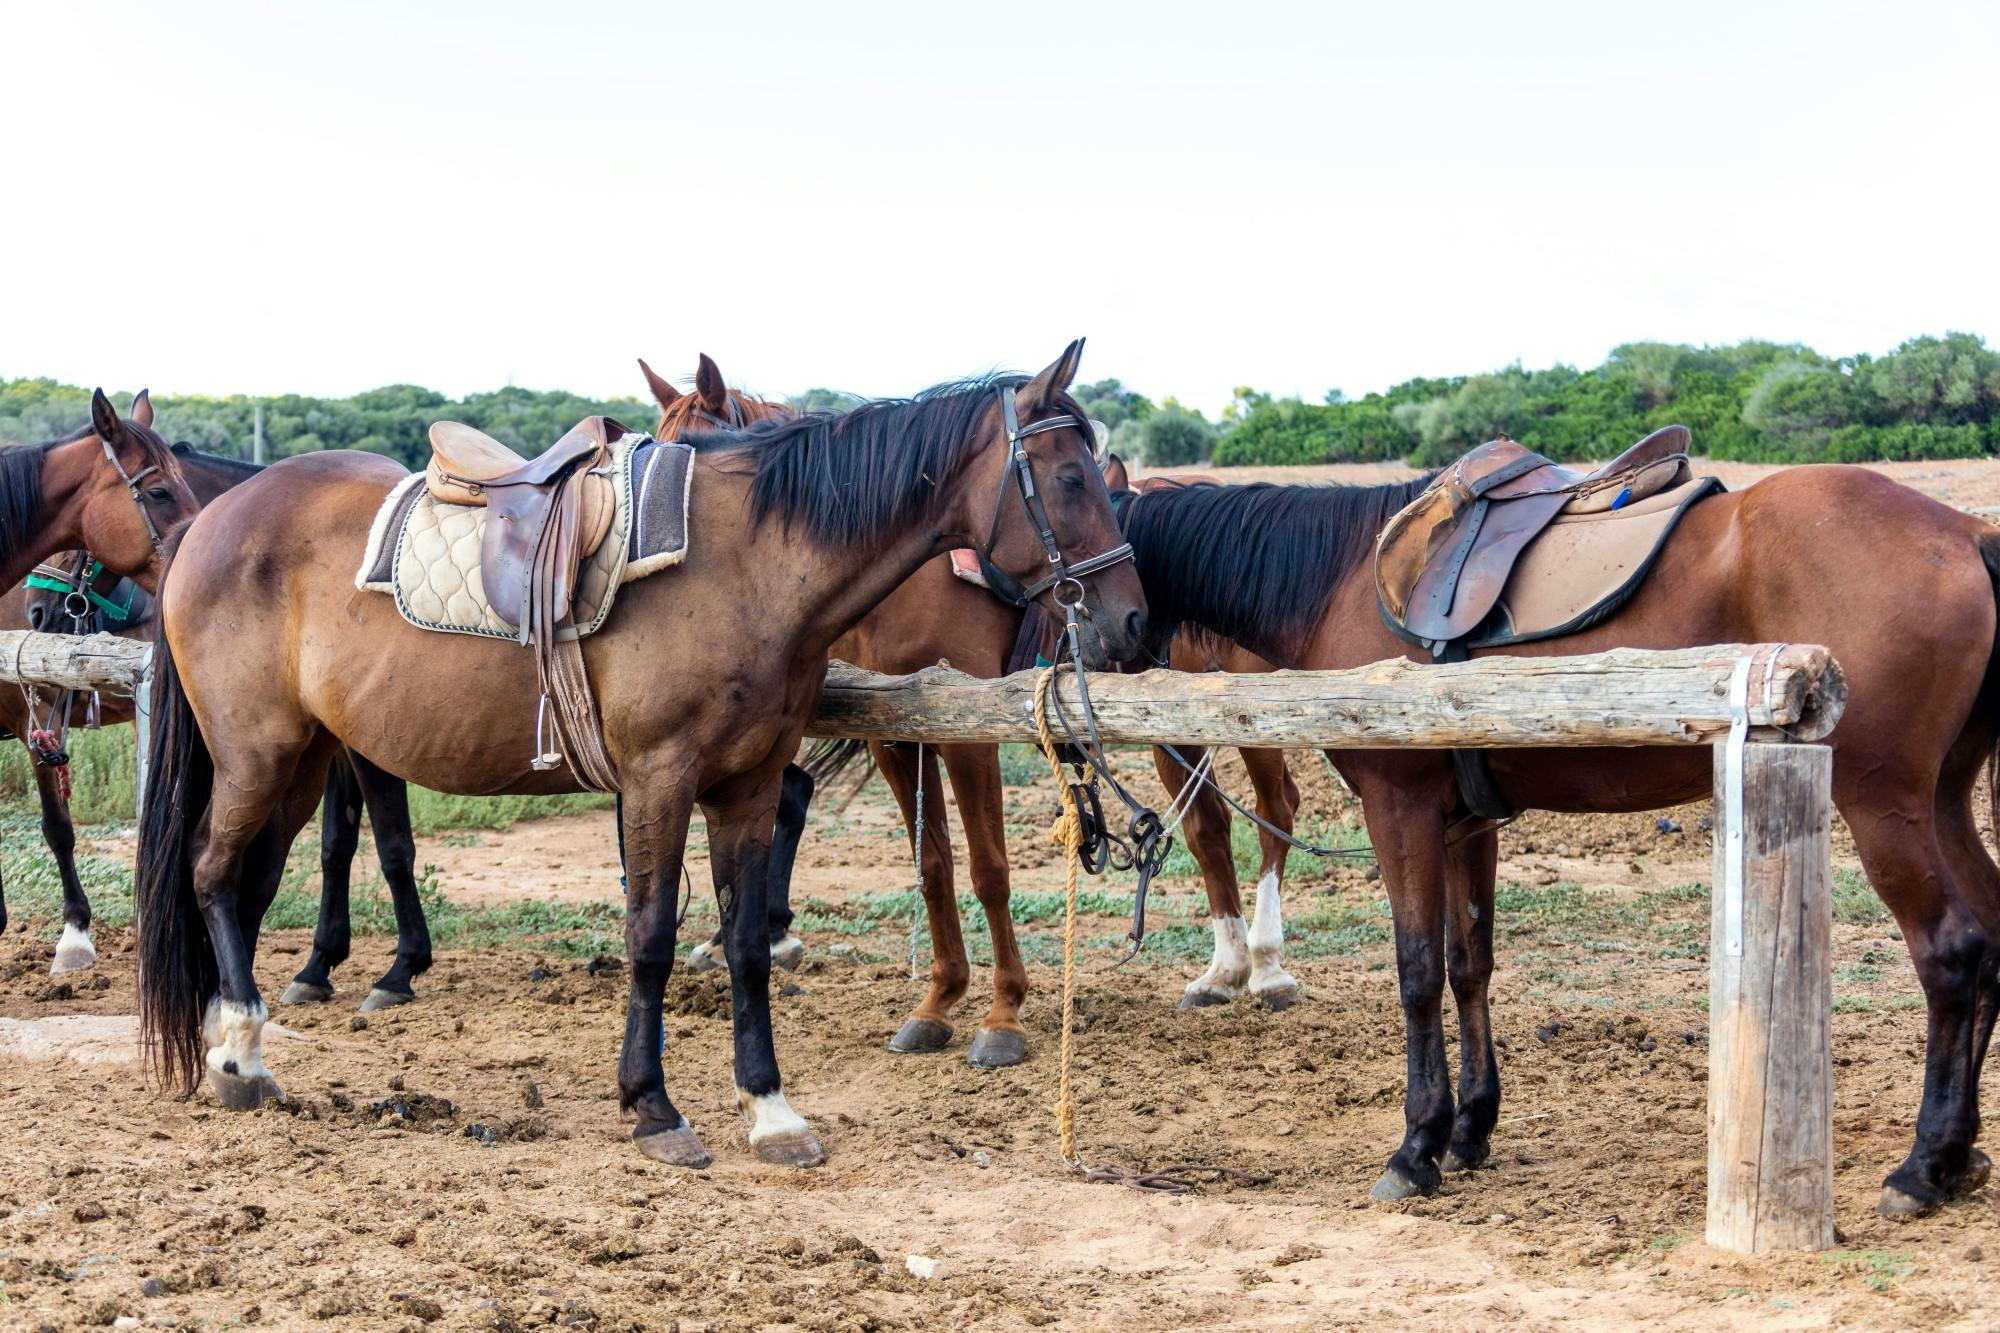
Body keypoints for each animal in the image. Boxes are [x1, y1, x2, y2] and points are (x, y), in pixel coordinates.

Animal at [137, 342, 1144, 1160]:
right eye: (1067, 479)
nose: (1130, 618)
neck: (749, 564)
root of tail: (208, 522)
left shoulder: (746, 786)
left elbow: (745, 941)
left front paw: (770, 1108)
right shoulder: (660, 779)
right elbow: (651, 934)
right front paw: (652, 1105)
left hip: (302, 760)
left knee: (246, 882)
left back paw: (234, 1046)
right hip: (258, 754)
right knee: (213, 871)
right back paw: (244, 1051)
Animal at [1120, 454, 2000, 1216]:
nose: (1115, 636)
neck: (1344, 580)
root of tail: (1963, 532)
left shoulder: (1399, 811)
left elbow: (1416, 971)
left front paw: (1416, 1146)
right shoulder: (1465, 824)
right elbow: (1468, 964)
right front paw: (1469, 1127)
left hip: (1883, 804)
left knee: (1951, 950)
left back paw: (1924, 1165)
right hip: (1943, 799)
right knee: (1989, 937)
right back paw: (1962, 1156)